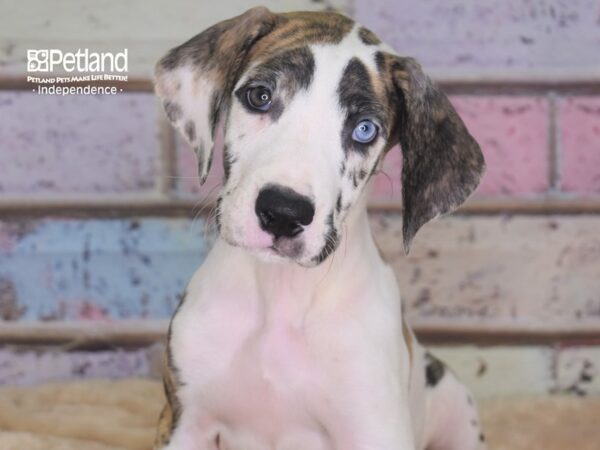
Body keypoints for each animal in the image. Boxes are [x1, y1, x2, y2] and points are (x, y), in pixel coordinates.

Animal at [155, 7, 488, 450]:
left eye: (364, 129)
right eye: (259, 96)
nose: (283, 212)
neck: (282, 296)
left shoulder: (376, 430)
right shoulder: (184, 422)